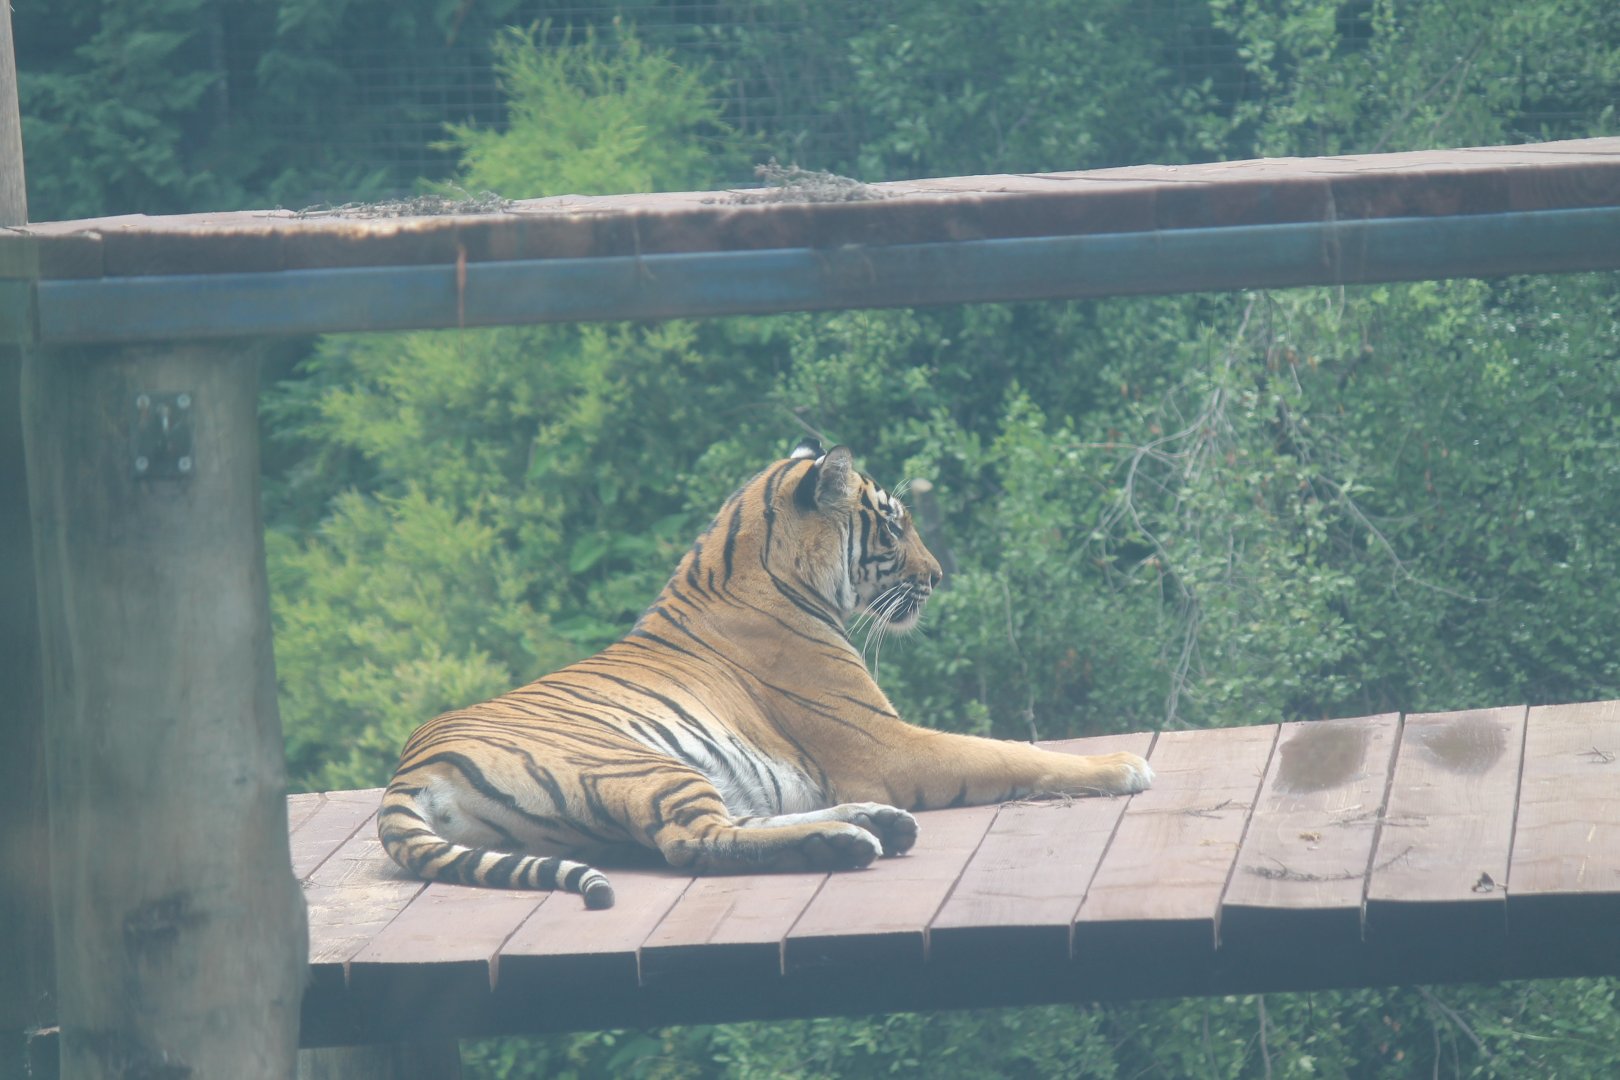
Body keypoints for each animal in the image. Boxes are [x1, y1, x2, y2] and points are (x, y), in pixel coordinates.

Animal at [378, 439, 1153, 908]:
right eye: (893, 526)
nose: (938, 577)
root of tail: (411, 769)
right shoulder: (887, 744)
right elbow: (1011, 752)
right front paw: (1123, 766)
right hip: (638, 763)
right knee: (693, 842)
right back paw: (846, 839)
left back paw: (870, 823)